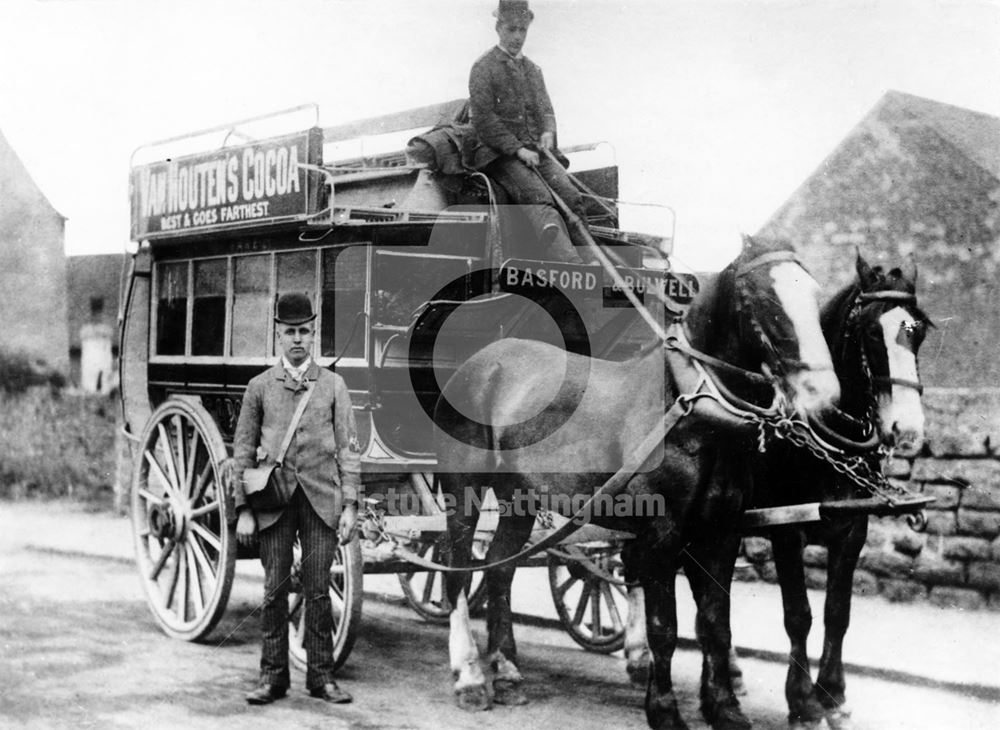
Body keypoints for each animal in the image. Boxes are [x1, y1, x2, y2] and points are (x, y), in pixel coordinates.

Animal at [434, 236, 840, 724]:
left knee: (500, 568)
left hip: (520, 497)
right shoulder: (663, 535)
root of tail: (481, 362)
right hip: (464, 491)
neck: (691, 406)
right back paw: (470, 675)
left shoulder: (721, 533)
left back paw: (508, 671)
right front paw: (664, 709)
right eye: (764, 297)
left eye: (815, 296)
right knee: (457, 569)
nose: (824, 397)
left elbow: (715, 624)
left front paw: (724, 707)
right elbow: (664, 627)